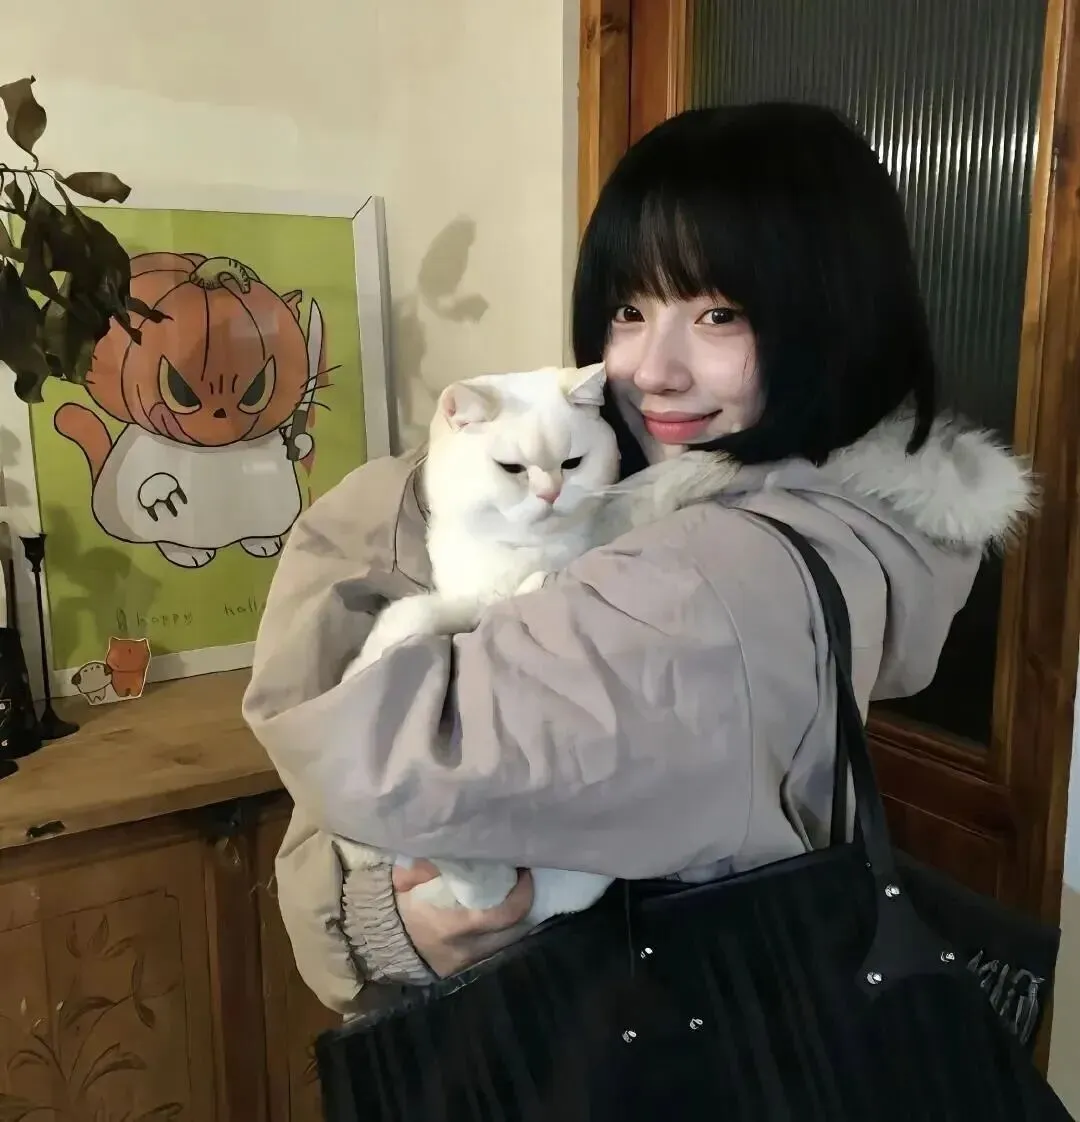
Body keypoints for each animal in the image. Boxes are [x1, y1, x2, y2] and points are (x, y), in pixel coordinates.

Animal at [54, 253, 321, 569]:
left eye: (257, 390)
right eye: (178, 389)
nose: (221, 415)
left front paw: (300, 441)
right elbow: (147, 481)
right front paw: (161, 489)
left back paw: (262, 543)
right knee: (168, 539)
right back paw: (188, 553)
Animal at [344, 363, 738, 927]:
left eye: (572, 463)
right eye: (512, 468)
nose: (551, 494)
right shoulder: (464, 596)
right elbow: (418, 615)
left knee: (498, 887)